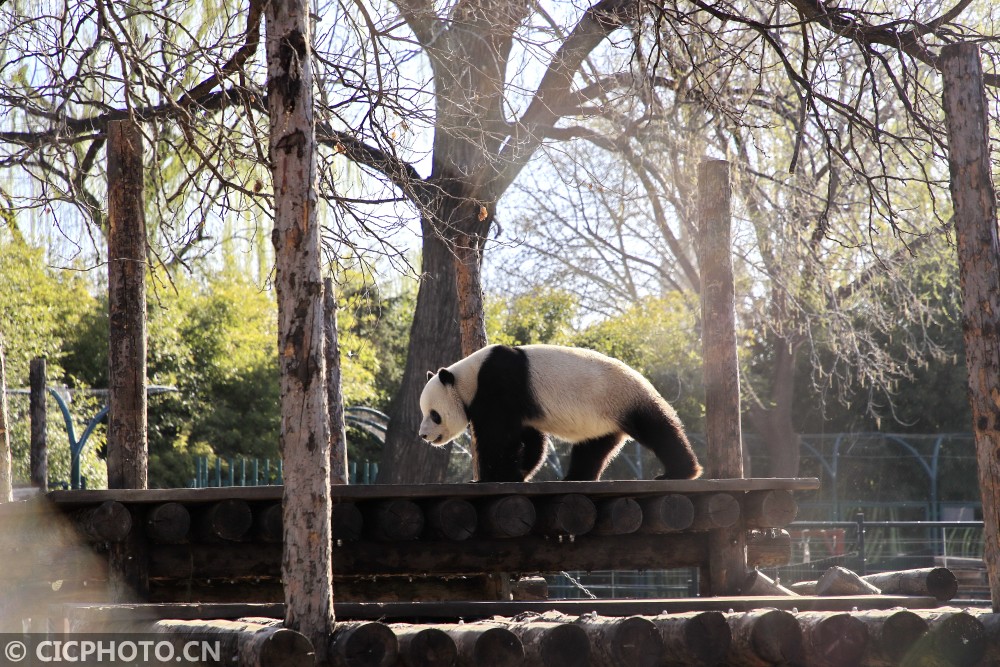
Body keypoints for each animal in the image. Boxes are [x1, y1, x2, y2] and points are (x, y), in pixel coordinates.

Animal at [416, 344, 704, 480]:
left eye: (434, 414)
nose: (423, 435)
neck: (468, 378)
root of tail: (643, 379)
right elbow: (530, 439)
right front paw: (519, 472)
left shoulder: (498, 385)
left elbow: (498, 438)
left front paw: (491, 478)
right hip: (602, 420)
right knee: (592, 448)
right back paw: (575, 477)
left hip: (623, 398)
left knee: (658, 430)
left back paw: (682, 471)